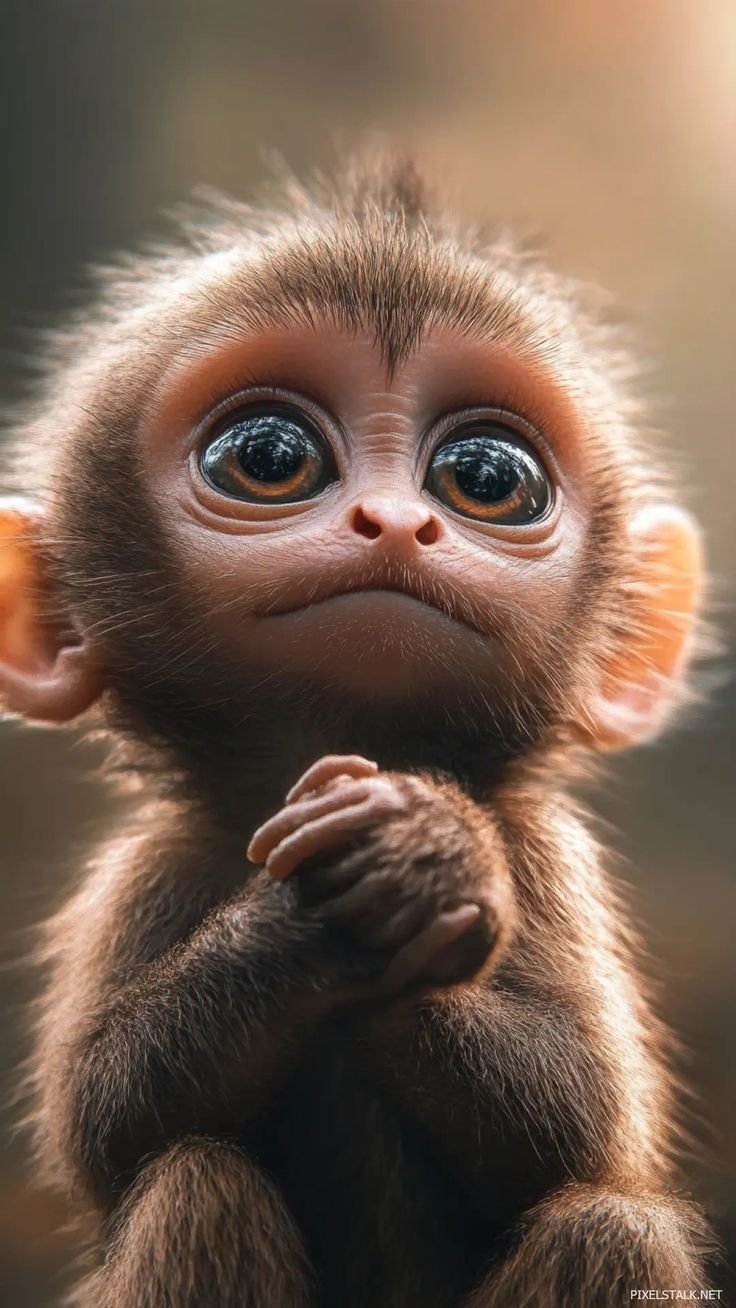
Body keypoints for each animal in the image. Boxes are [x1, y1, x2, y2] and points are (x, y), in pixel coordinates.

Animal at [0, 156, 716, 1307]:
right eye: (268, 456)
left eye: (486, 478)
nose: (394, 522)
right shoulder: (154, 861)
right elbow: (111, 1123)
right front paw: (318, 916)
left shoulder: (548, 851)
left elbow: (585, 1129)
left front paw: (421, 853)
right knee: (195, 1182)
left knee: (610, 1226)